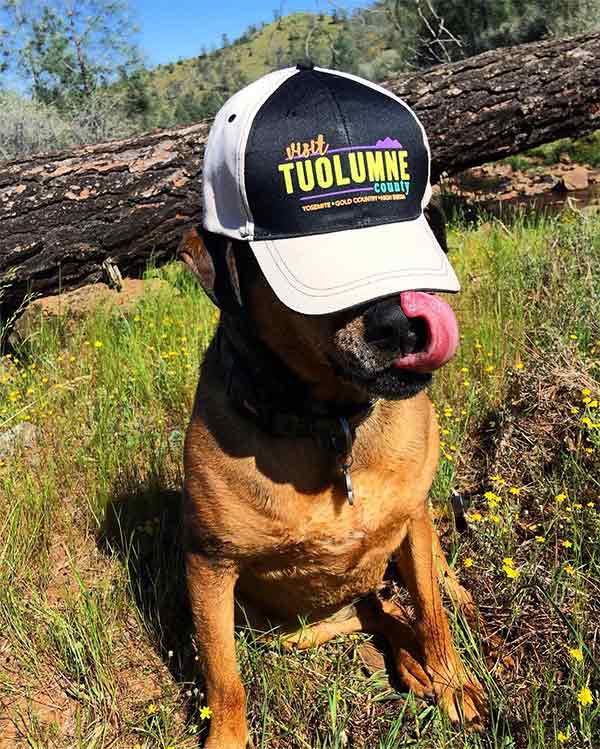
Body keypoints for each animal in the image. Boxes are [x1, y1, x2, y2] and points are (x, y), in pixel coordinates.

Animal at [179, 216, 488, 748]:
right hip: (285, 630)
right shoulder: (209, 567)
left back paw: (447, 621)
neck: (330, 424)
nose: (403, 321)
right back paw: (410, 663)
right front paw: (226, 739)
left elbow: (431, 613)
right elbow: (225, 680)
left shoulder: (413, 522)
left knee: (420, 591)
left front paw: (453, 681)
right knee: (378, 613)